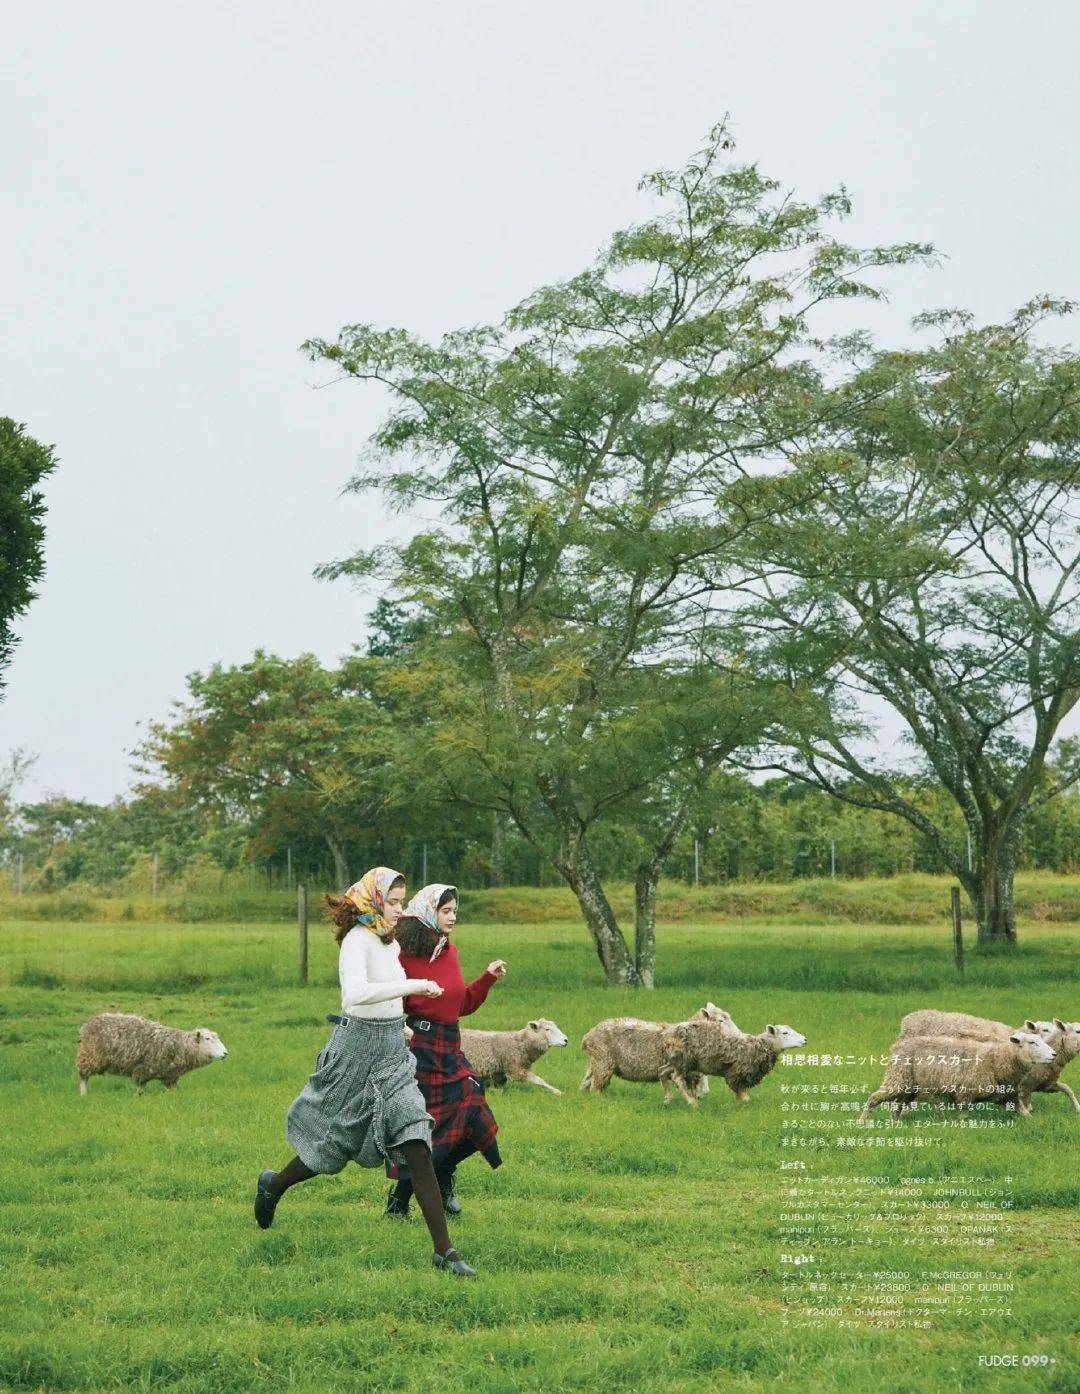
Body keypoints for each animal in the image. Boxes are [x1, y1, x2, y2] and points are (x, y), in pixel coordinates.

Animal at [76, 1009, 229, 1092]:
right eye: (207, 1039)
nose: (225, 1053)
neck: (179, 1046)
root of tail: (87, 1024)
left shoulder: (170, 1077)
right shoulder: (141, 1072)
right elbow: (139, 1091)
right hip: (88, 1058)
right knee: (83, 1077)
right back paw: (84, 1095)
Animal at [657, 1020, 802, 1104]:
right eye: (785, 1033)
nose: (804, 1040)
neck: (756, 1046)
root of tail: (667, 1034)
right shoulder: (736, 1073)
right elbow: (742, 1094)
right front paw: (743, 1104)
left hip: (675, 1061)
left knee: (662, 1072)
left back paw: (667, 1099)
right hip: (683, 1060)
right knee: (677, 1078)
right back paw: (692, 1102)